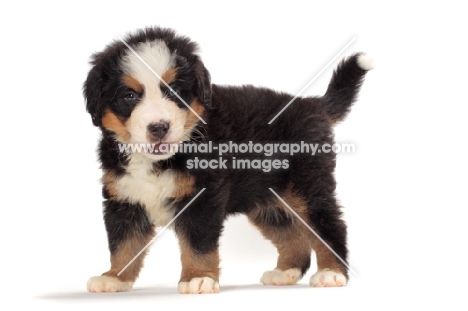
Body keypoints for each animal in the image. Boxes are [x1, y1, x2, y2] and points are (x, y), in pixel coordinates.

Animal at [83, 26, 372, 294]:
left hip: (308, 185)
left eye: (175, 92)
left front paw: (198, 278)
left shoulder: (203, 197)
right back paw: (285, 272)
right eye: (129, 95)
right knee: (291, 234)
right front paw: (114, 278)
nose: (158, 127)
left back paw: (331, 273)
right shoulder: (124, 200)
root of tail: (312, 104)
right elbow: (123, 245)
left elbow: (198, 244)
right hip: (266, 200)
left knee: (329, 226)